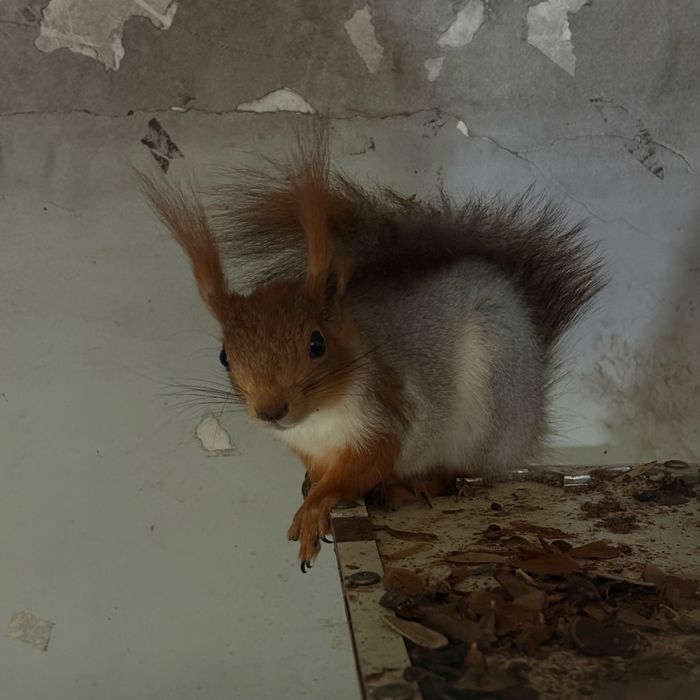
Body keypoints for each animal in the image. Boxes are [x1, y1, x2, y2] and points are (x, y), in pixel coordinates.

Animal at [139, 124, 605, 572]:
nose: (271, 411)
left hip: (493, 401)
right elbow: (321, 470)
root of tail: (534, 405)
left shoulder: (385, 416)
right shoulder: (307, 446)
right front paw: (312, 486)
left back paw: (422, 482)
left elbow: (361, 468)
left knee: (471, 468)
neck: (317, 421)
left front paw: (317, 505)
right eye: (224, 357)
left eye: (316, 343)